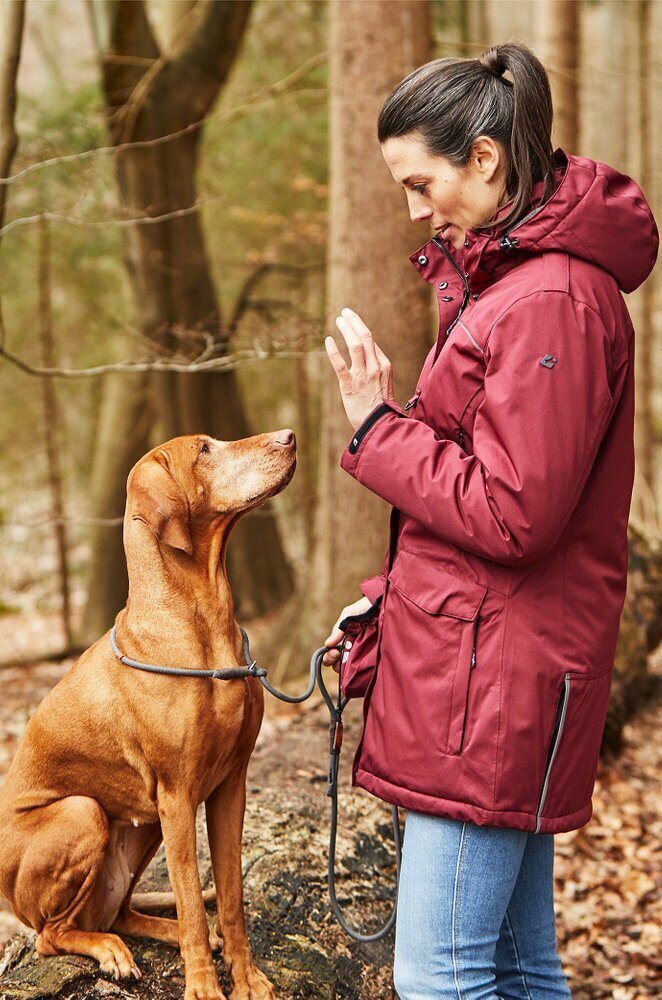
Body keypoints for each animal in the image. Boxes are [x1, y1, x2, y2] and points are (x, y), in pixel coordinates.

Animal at [0, 430, 296, 1000]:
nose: (290, 438)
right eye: (204, 449)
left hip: (144, 825)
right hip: (85, 813)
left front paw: (247, 978)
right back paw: (111, 952)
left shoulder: (231, 785)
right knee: (54, 934)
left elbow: (229, 897)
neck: (204, 626)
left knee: (118, 912)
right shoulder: (178, 796)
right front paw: (204, 987)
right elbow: (194, 904)